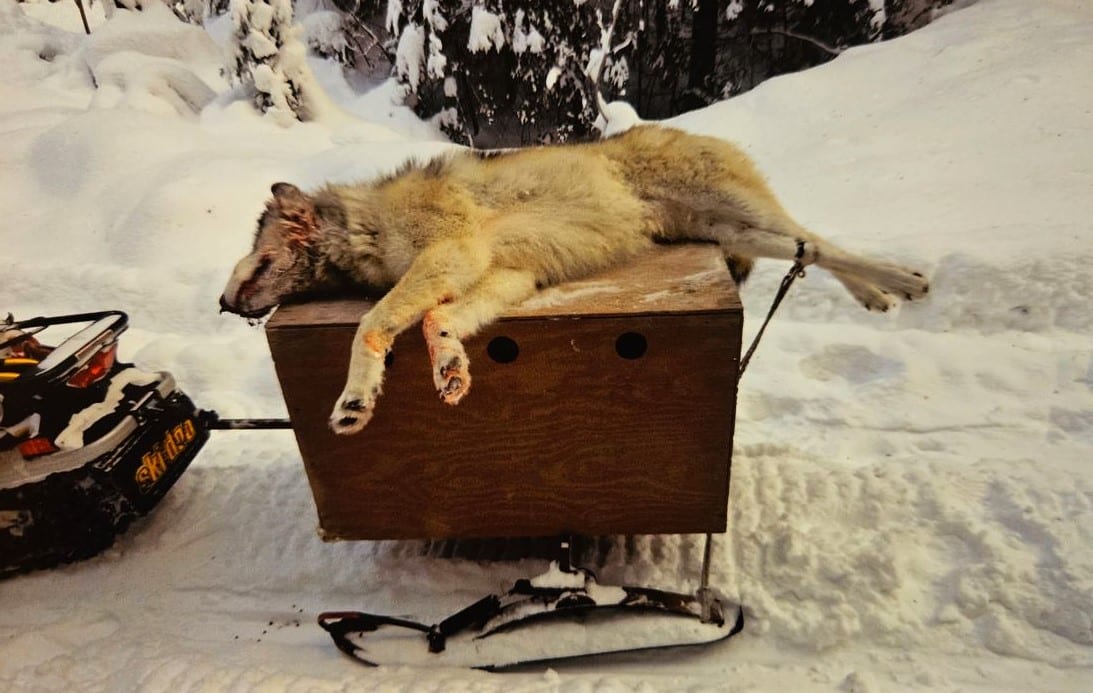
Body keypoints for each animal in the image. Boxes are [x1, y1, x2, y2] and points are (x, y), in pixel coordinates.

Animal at [220, 125, 928, 435]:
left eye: (258, 262)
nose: (223, 304)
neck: (364, 227)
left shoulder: (452, 255)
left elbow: (370, 325)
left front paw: (356, 399)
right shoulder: (504, 276)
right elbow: (438, 321)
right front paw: (450, 367)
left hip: (745, 215)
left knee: (824, 242)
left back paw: (904, 280)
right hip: (739, 232)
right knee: (811, 250)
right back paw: (880, 292)